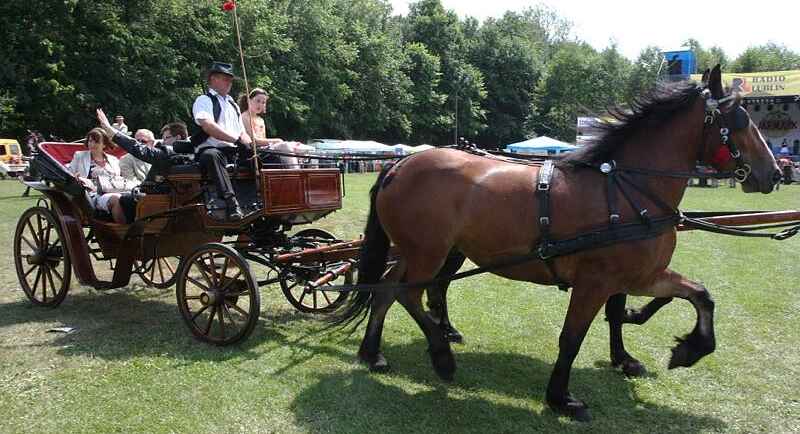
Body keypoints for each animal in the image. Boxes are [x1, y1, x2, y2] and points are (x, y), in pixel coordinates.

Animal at [334, 66, 780, 422]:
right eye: (741, 120)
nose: (774, 173)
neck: (627, 189)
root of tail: (401, 163)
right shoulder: (595, 284)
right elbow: (572, 338)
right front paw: (561, 397)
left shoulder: (642, 275)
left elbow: (699, 295)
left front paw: (685, 348)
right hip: (428, 253)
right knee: (406, 292)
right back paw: (441, 356)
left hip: (424, 252)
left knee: (389, 289)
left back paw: (374, 351)